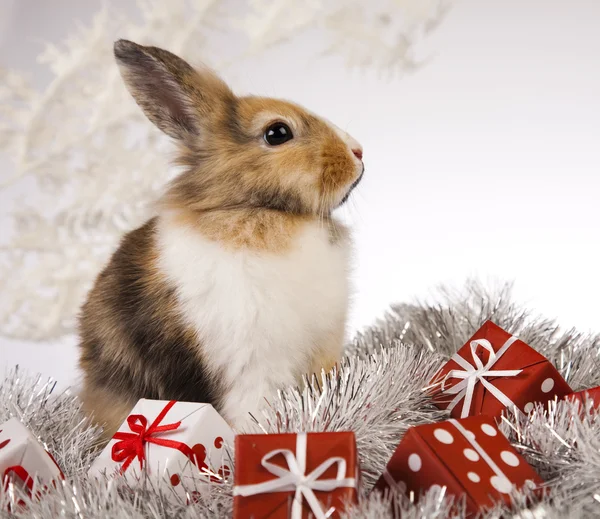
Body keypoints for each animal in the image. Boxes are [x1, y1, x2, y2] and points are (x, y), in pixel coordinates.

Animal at [77, 38, 364, 440]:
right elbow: (255, 413)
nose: (359, 152)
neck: (254, 209)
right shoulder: (250, 367)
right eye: (277, 133)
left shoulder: (322, 351)